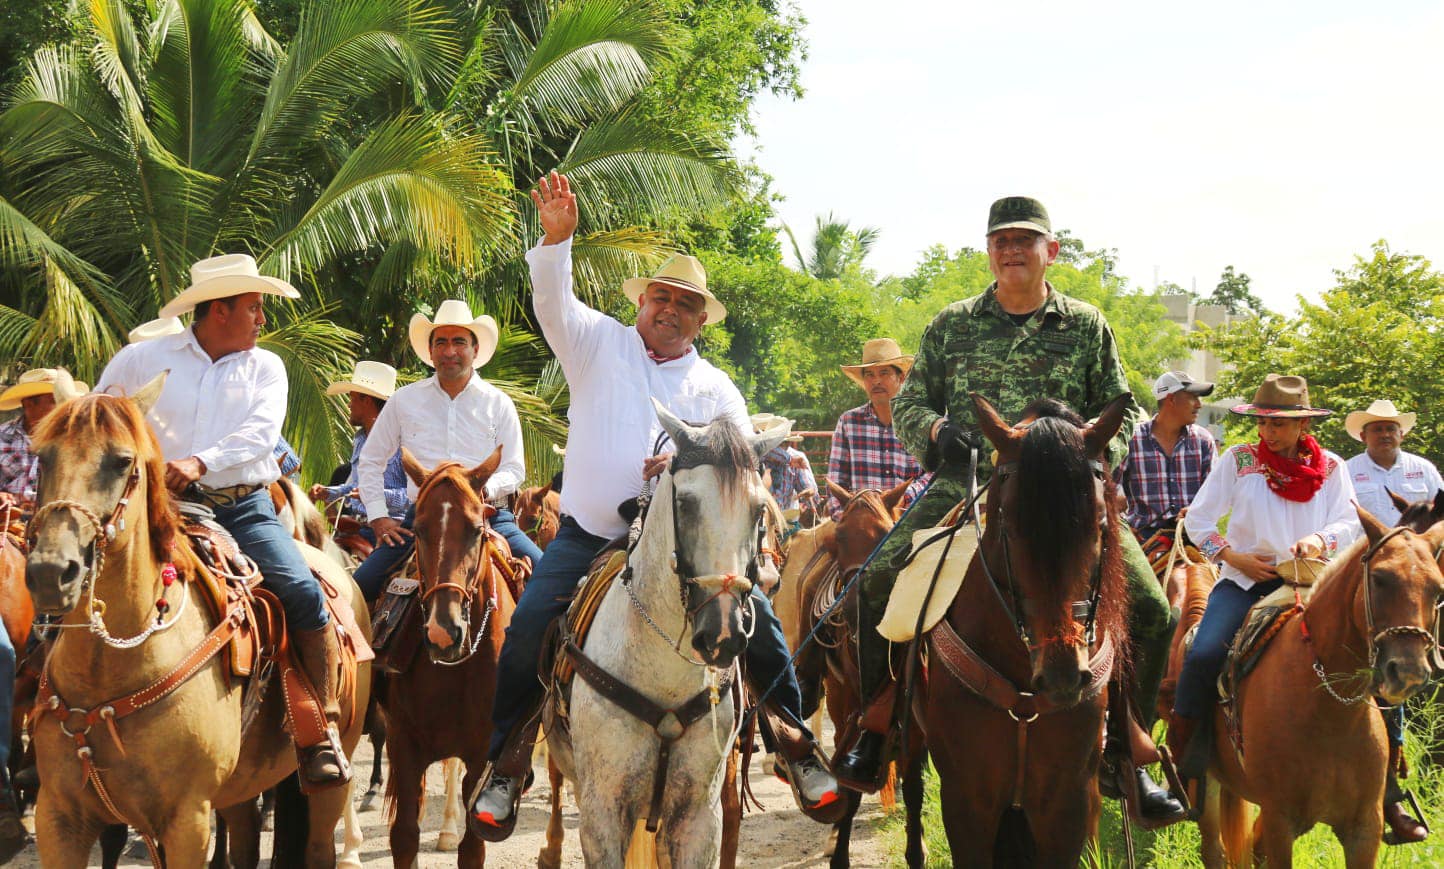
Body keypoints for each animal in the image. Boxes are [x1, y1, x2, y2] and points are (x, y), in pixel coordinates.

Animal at [21, 378, 369, 866]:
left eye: (121, 461)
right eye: (44, 456)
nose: (52, 571)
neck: (111, 668)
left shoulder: (187, 820)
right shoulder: (60, 817)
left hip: (333, 771)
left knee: (319, 842)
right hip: (241, 786)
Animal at [384, 447, 519, 866]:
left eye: (476, 530)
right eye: (419, 529)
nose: (444, 632)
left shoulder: (480, 755)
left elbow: (472, 848)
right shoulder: (403, 744)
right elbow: (404, 837)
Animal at [1184, 508, 1444, 866]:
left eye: (1438, 590)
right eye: (1380, 578)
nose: (1409, 672)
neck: (1328, 714)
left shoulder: (1364, 828)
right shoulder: (1279, 820)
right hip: (1206, 788)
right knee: (1213, 849)